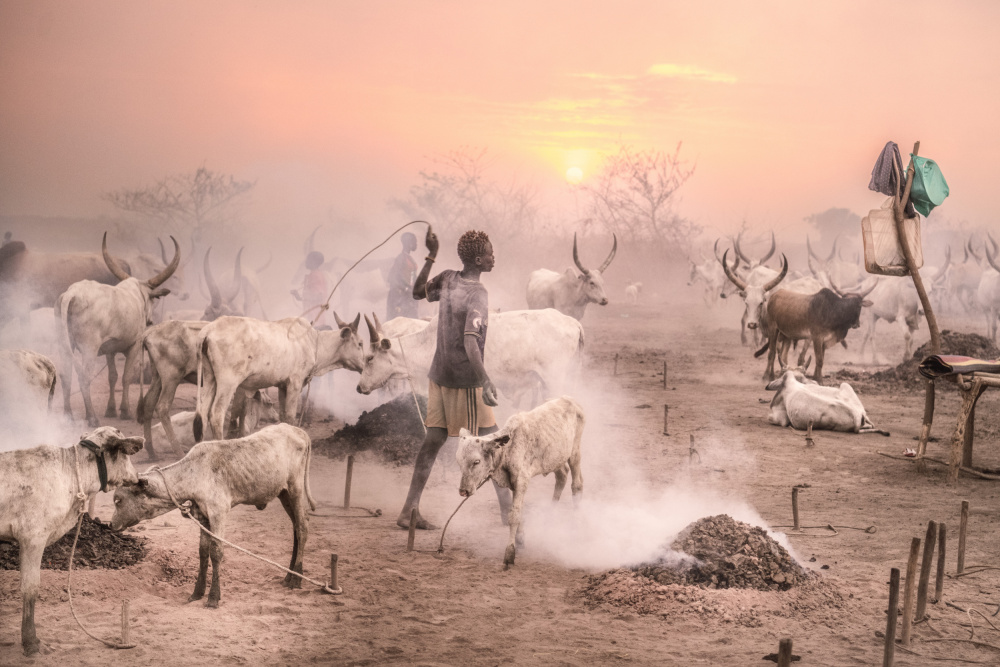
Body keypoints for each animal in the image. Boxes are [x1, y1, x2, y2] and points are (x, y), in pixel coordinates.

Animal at [110, 426, 314, 608]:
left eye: (118, 500)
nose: (111, 524)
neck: (194, 473)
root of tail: (298, 431)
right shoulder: (203, 517)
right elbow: (203, 552)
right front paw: (197, 592)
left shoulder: (218, 513)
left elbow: (216, 552)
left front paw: (213, 597)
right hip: (283, 494)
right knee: (295, 530)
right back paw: (289, 575)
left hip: (295, 489)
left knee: (302, 528)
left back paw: (296, 578)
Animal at [456, 396, 584, 568]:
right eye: (459, 462)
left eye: (476, 461)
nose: (463, 491)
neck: (508, 448)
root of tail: (570, 399)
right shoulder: (513, 484)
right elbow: (518, 509)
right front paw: (520, 539)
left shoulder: (521, 481)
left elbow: (514, 515)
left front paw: (509, 553)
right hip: (556, 459)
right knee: (562, 475)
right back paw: (549, 518)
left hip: (575, 453)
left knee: (576, 485)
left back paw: (576, 523)